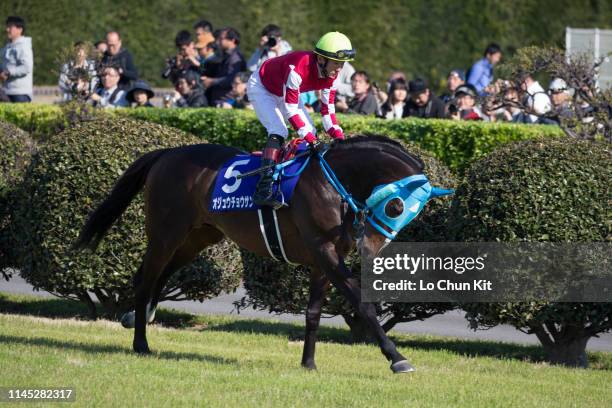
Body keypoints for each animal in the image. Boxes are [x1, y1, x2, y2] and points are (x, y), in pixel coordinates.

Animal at [75, 135, 450, 372]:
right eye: (396, 205)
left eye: (411, 215)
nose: (372, 249)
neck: (334, 182)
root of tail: (166, 154)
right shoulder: (325, 251)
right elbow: (362, 303)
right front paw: (397, 358)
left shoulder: (323, 259)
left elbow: (313, 313)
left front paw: (308, 363)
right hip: (166, 233)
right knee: (145, 277)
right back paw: (141, 342)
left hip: (200, 236)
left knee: (161, 274)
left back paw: (138, 317)